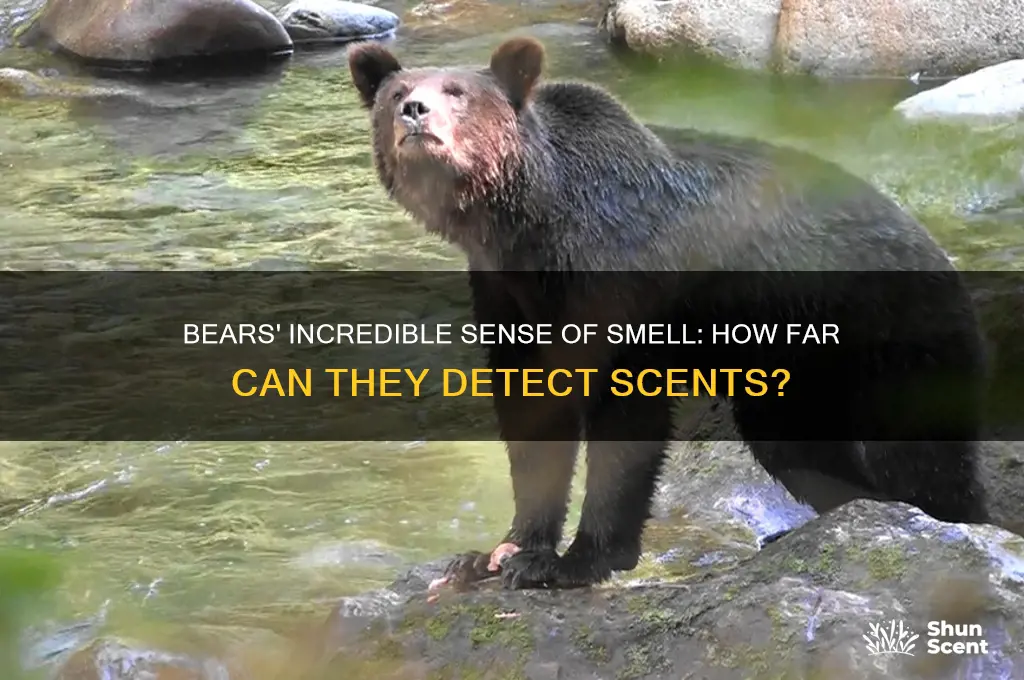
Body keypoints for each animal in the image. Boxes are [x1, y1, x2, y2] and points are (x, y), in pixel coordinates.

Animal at [347, 36, 991, 590]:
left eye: (457, 91)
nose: (415, 111)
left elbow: (624, 417)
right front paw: (499, 552)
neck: (530, 226)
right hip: (796, 364)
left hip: (889, 330)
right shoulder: (507, 295)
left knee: (917, 454)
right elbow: (533, 414)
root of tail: (935, 249)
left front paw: (574, 560)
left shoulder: (619, 272)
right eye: (397, 90)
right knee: (798, 446)